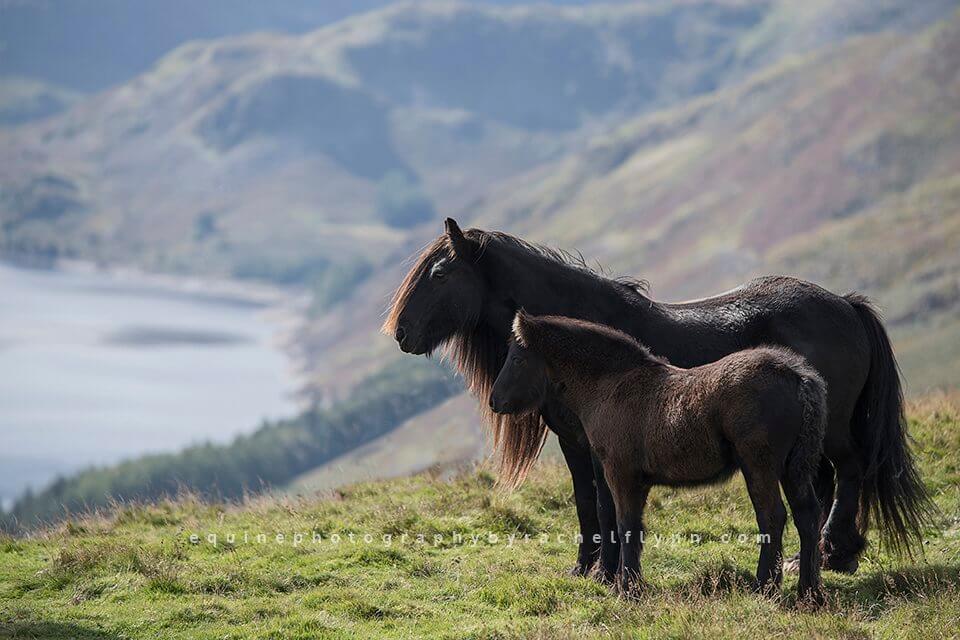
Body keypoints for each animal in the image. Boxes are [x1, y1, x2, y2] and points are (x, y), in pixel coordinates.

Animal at [382, 218, 928, 576]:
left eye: (439, 274)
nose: (402, 334)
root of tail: (847, 305)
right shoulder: (574, 441)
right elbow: (585, 501)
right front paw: (586, 568)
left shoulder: (596, 444)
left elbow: (605, 503)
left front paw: (608, 571)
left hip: (833, 429)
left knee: (851, 471)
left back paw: (837, 553)